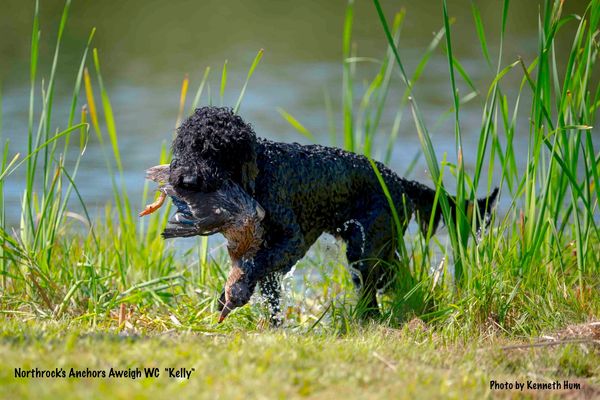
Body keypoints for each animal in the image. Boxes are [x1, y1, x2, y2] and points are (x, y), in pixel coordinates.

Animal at [163, 105, 496, 322]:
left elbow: (256, 265)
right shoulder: (274, 247)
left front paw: (235, 293)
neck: (262, 170)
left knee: (371, 292)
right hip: (381, 249)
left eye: (217, 150)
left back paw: (365, 320)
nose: (186, 180)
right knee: (393, 278)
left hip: (364, 250)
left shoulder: (291, 241)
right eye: (189, 146)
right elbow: (269, 288)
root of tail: (400, 181)